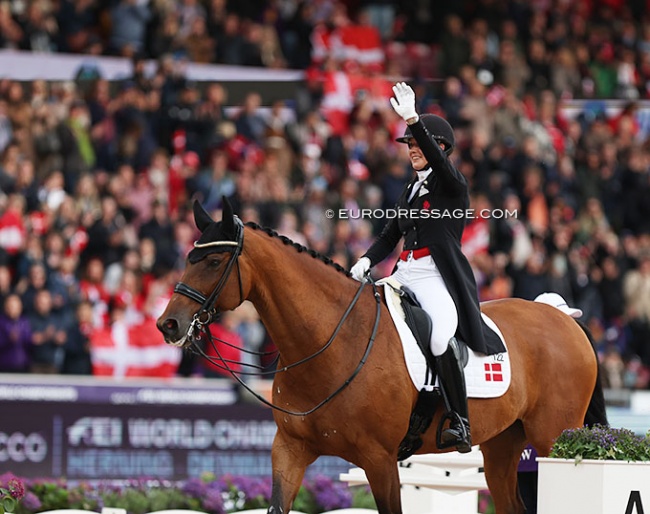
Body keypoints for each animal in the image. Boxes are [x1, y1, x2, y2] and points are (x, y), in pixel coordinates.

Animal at [156, 199, 604, 512]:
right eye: (188, 257)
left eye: (214, 260)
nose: (168, 325)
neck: (330, 342)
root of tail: (562, 317)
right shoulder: (290, 449)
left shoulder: (381, 460)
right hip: (502, 445)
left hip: (552, 438)